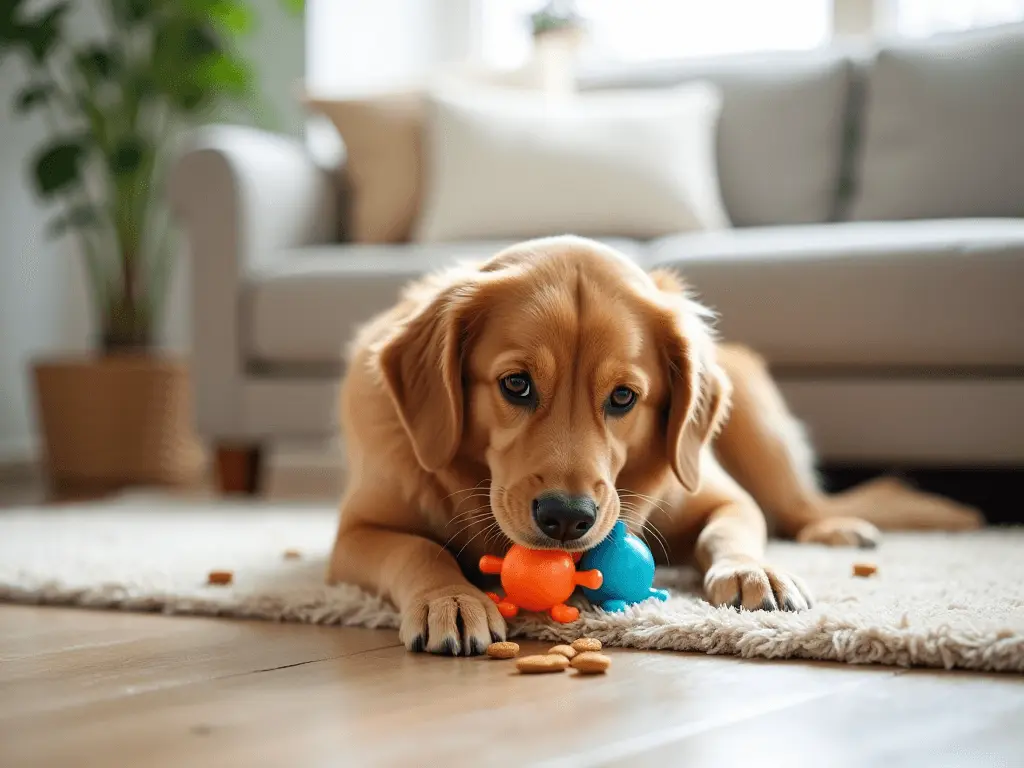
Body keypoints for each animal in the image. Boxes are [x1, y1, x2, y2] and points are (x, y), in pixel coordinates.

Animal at [327, 236, 983, 655]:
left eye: (623, 397)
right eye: (515, 384)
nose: (567, 519)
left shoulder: (716, 495)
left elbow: (733, 528)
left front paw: (754, 571)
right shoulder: (355, 534)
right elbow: (419, 551)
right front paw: (453, 600)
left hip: (756, 413)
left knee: (802, 507)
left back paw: (838, 528)